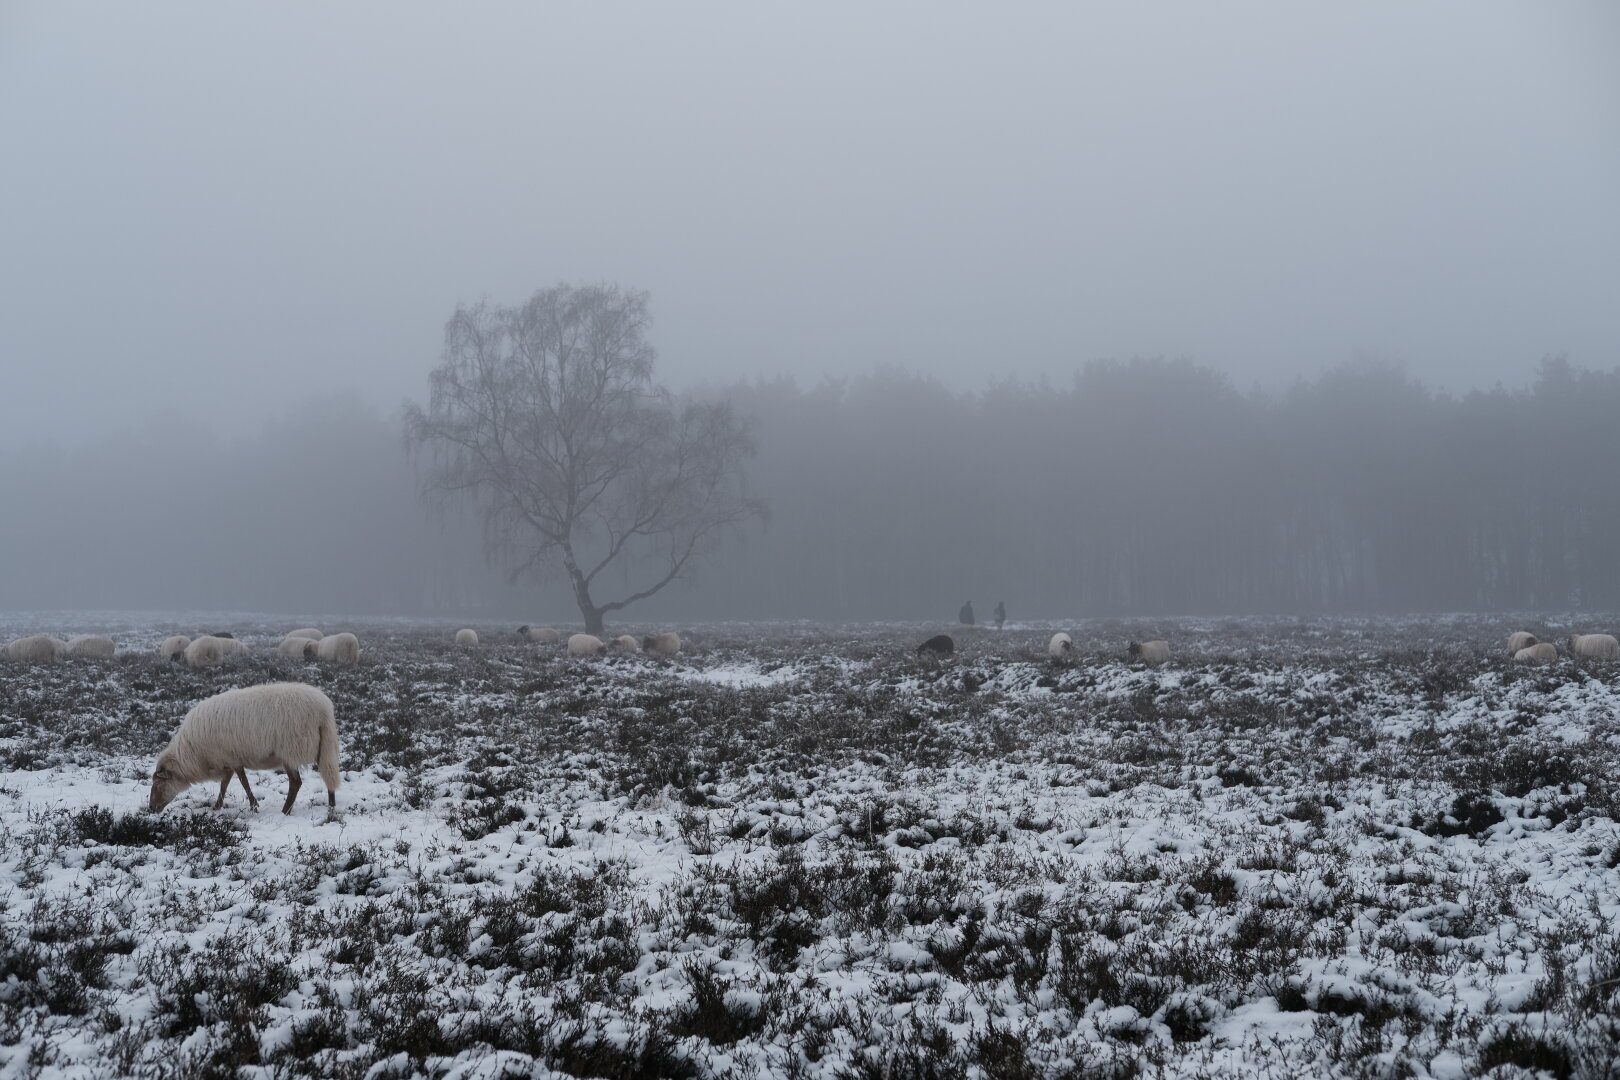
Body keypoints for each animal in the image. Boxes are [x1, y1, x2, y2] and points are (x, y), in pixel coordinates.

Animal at [150, 680, 343, 816]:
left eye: (158, 784)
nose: (151, 808)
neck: (193, 753)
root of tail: (323, 710)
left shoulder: (232, 757)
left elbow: (242, 782)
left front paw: (253, 805)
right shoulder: (227, 760)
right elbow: (225, 784)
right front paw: (217, 806)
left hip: (290, 750)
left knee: (296, 783)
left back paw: (285, 811)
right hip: (323, 746)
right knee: (328, 774)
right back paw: (331, 807)